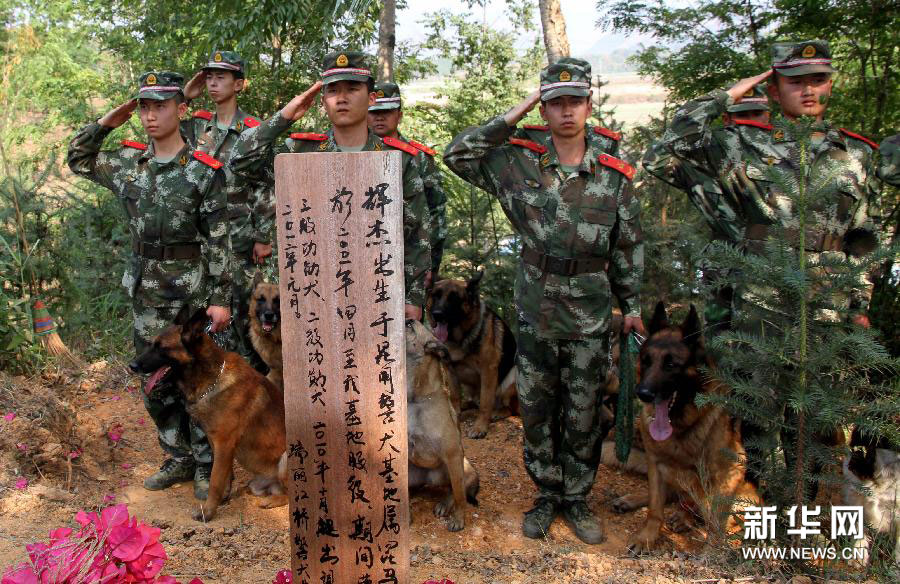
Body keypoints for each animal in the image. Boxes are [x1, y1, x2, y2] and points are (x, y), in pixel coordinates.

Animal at [130, 308, 288, 524]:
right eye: (151, 344)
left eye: (162, 348)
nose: (132, 365)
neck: (211, 379)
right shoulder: (217, 444)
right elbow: (224, 476)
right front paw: (223, 497)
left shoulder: (223, 445)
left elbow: (214, 481)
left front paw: (208, 511)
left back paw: (272, 501)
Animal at [406, 318, 478, 532]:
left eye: (410, 326)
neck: (416, 400)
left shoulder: (453, 455)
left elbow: (460, 496)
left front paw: (458, 519)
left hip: (460, 467)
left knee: (457, 489)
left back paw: (446, 504)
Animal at [426, 270, 516, 438]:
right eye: (436, 295)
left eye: (454, 298)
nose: (437, 314)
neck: (458, 339)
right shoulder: (450, 369)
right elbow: (455, 396)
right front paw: (455, 414)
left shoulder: (489, 371)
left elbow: (486, 402)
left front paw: (480, 427)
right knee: (472, 401)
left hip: (512, 378)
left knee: (509, 407)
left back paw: (498, 412)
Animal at [612, 304, 760, 556]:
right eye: (646, 360)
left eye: (671, 365)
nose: (642, 393)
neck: (682, 424)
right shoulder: (656, 462)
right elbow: (655, 508)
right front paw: (646, 538)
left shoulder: (728, 471)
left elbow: (715, 521)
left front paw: (712, 552)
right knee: (672, 496)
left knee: (708, 511)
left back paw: (685, 518)